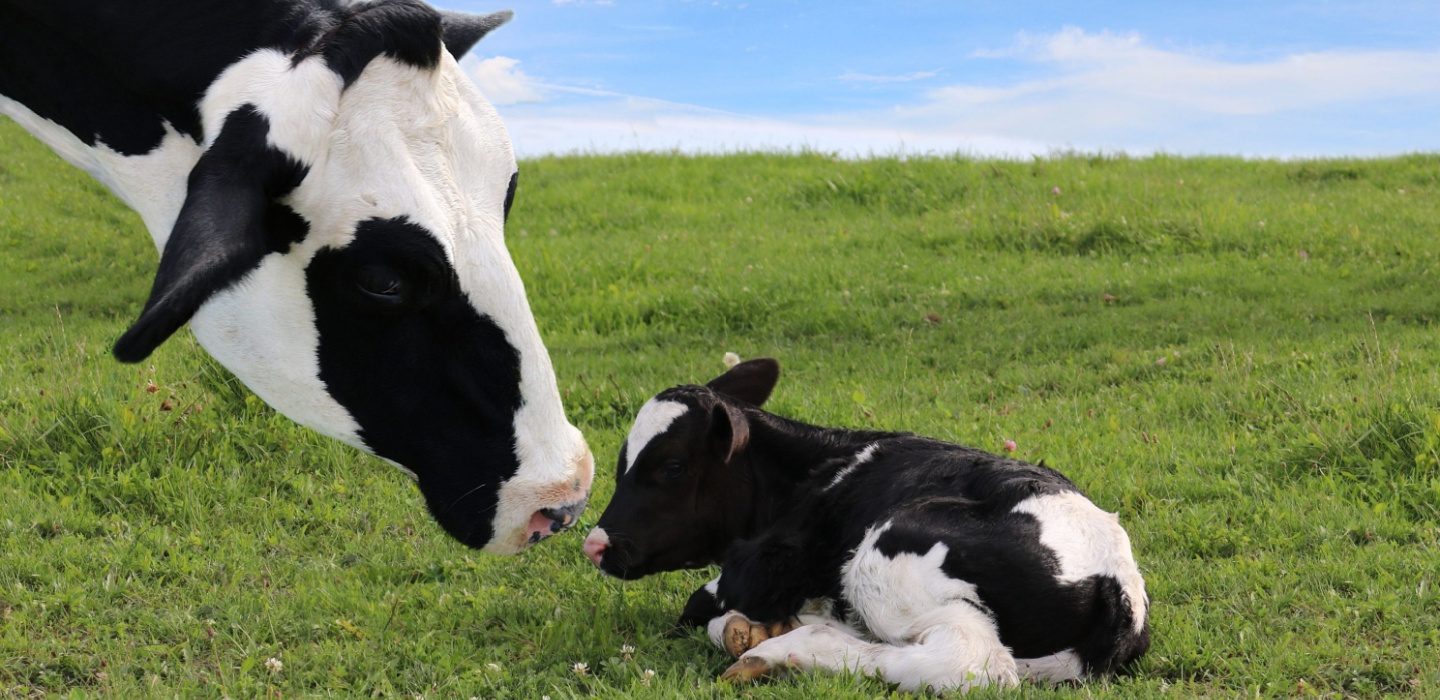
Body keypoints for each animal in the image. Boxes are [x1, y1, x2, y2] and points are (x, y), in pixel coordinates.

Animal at [578, 361, 1152, 694]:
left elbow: (703, 606)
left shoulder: (759, 568)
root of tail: (1116, 582)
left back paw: (780, 650)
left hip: (888, 556)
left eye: (671, 467)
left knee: (968, 662)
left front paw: (753, 630)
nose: (595, 544)